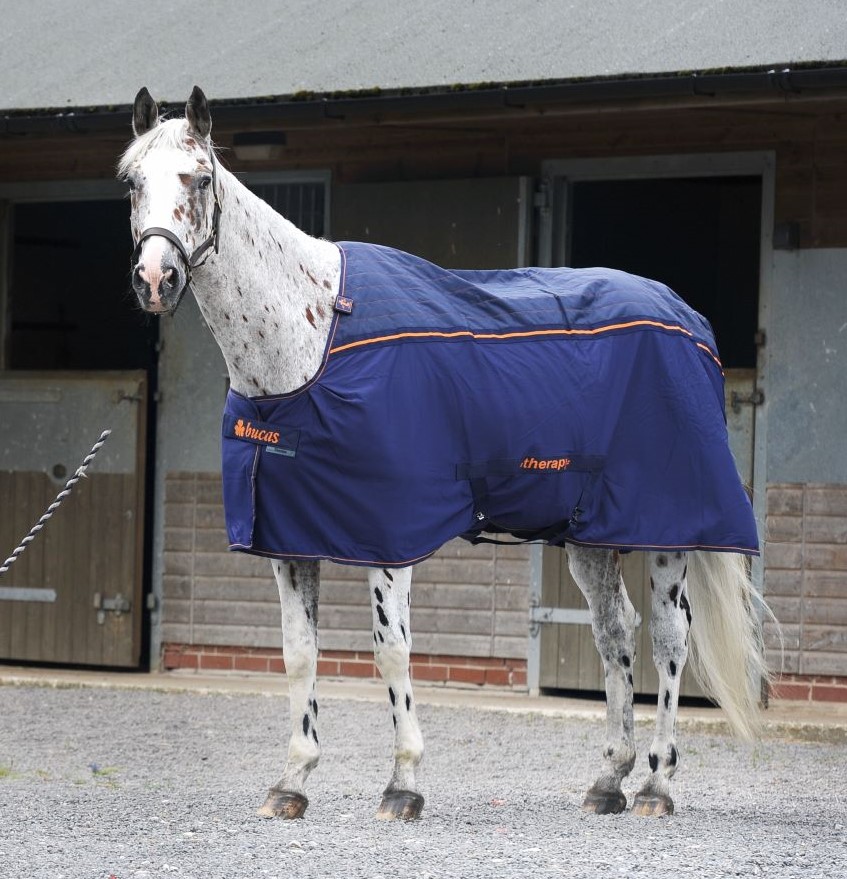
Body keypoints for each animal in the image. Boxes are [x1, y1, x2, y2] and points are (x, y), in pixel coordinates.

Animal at [119, 86, 770, 821]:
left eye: (199, 177)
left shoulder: (388, 539)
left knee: (667, 636)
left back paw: (657, 786)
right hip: (588, 536)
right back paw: (609, 779)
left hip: (666, 532)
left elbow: (392, 653)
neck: (308, 340)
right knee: (614, 630)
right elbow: (298, 654)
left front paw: (402, 784)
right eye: (131, 181)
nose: (155, 277)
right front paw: (292, 781)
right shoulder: (288, 542)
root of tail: (687, 319)